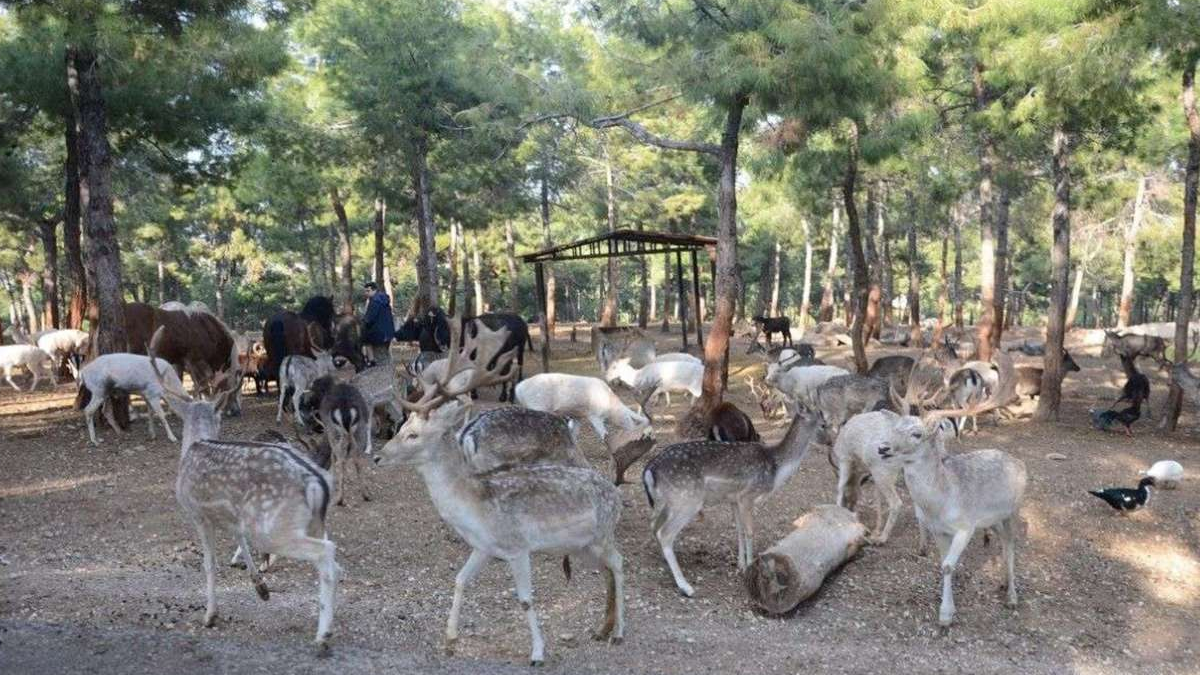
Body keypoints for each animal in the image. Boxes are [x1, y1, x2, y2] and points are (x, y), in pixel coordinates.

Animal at [150, 326, 340, 653]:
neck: (194, 445)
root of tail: (317, 481)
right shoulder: (234, 518)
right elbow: (241, 544)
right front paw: (261, 588)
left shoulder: (197, 513)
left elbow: (209, 564)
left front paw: (210, 615)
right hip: (312, 522)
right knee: (330, 553)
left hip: (274, 527)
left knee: (326, 553)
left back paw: (323, 635)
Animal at [374, 314, 628, 662]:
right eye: (402, 427)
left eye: (413, 434)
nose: (377, 456)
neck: (474, 508)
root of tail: (615, 494)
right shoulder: (483, 547)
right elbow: (459, 580)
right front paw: (450, 640)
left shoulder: (517, 546)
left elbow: (525, 599)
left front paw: (537, 652)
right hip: (582, 546)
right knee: (606, 572)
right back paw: (602, 628)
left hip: (602, 535)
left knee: (619, 565)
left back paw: (618, 632)